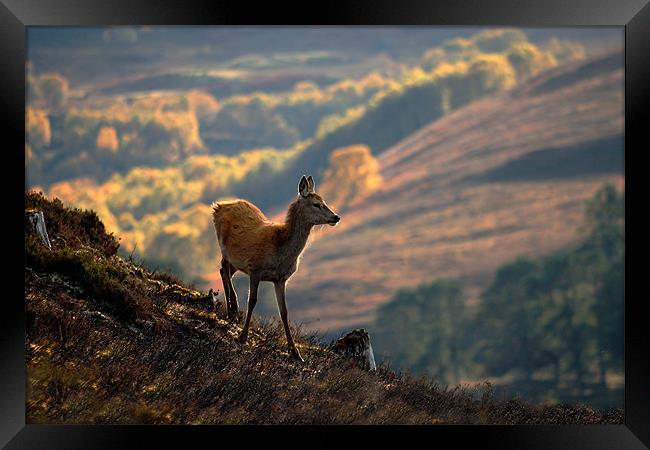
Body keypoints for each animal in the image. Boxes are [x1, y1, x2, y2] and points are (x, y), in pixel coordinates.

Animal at [211, 176, 340, 362]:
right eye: (316, 204)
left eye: (324, 201)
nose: (336, 217)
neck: (279, 252)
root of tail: (218, 206)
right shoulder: (255, 269)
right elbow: (252, 301)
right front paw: (243, 336)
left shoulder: (281, 279)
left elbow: (284, 312)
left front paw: (296, 353)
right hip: (224, 248)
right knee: (224, 269)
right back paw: (232, 308)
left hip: (236, 260)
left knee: (224, 271)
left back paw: (231, 310)